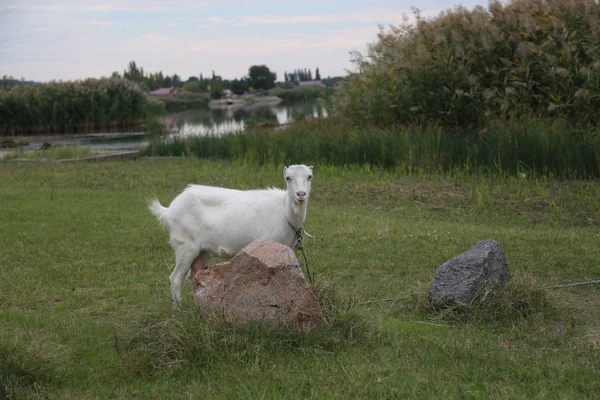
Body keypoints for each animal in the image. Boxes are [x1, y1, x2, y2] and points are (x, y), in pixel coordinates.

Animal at [149, 164, 314, 302]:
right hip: (185, 245)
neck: (285, 213)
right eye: (288, 178)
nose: (301, 194)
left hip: (202, 251)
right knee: (176, 278)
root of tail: (169, 210)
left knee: (196, 272)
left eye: (309, 176)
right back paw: (179, 308)